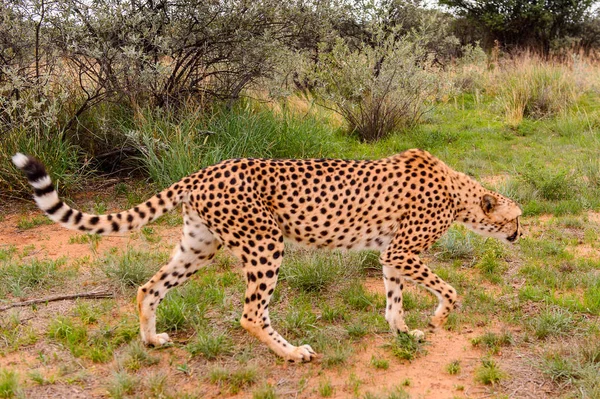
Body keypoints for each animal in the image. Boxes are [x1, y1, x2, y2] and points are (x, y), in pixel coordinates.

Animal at [11, 149, 524, 362]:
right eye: (515, 218)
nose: (520, 235)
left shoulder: (390, 255)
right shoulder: (402, 250)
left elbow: (394, 300)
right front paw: (438, 318)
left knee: (148, 286)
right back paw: (292, 352)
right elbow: (449, 288)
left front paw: (404, 332)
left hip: (200, 244)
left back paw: (152, 340)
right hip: (265, 244)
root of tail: (206, 169)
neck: (459, 192)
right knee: (251, 314)